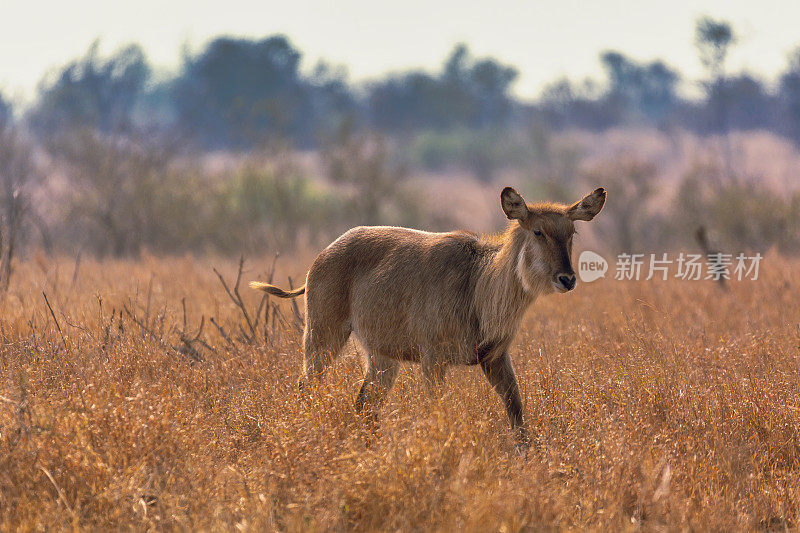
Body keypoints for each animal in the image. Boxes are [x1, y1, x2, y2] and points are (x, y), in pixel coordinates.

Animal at [250, 185, 608, 446]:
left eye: (571, 233)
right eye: (537, 231)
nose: (567, 279)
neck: (478, 287)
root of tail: (321, 255)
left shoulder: (495, 356)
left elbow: (516, 409)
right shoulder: (433, 358)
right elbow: (438, 411)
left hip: (382, 357)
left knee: (364, 405)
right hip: (323, 337)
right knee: (305, 386)